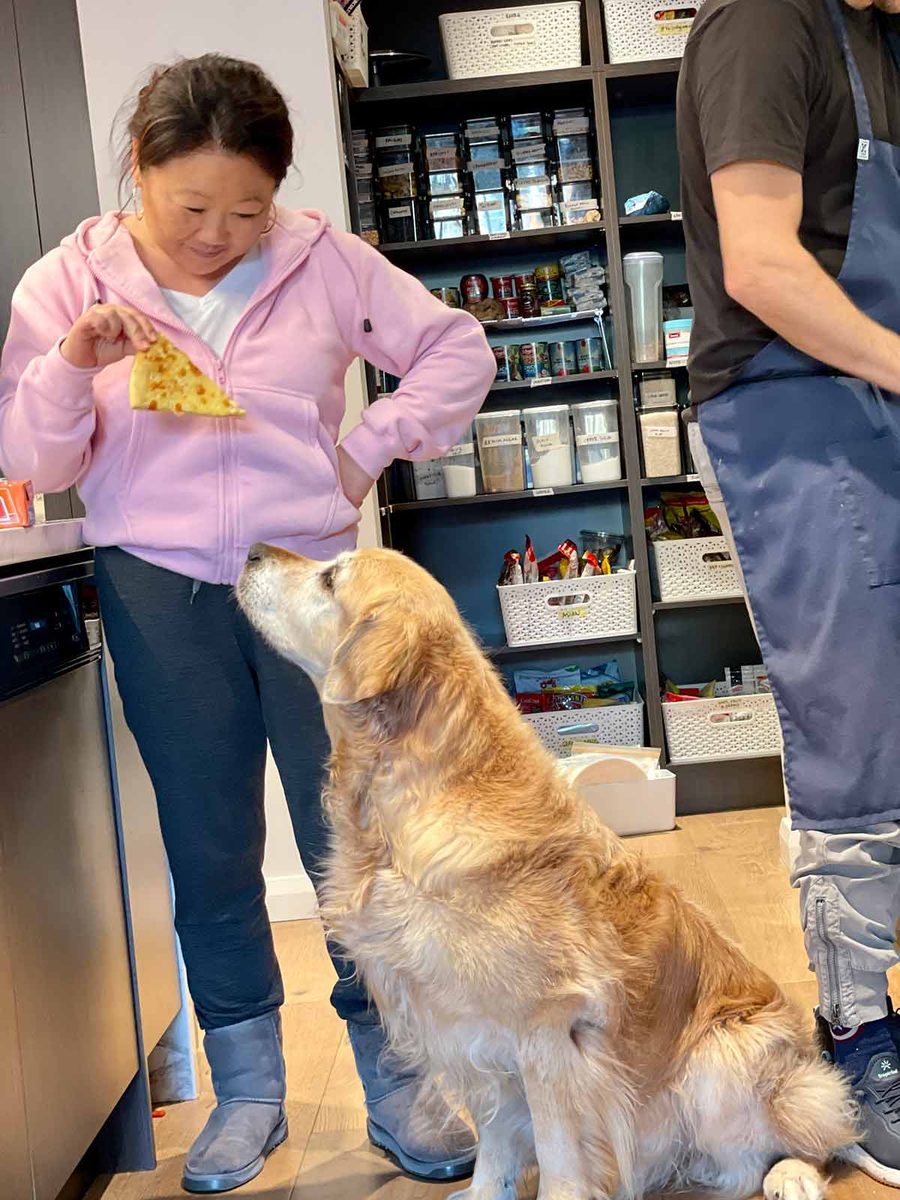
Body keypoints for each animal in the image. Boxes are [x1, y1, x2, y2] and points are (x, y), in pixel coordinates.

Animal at [237, 544, 855, 1200]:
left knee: (799, 1141)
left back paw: (786, 1175)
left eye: (331, 577)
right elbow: (496, 1142)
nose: (250, 552)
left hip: (723, 1056)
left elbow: (560, 1155)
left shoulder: (550, 1035)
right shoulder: (472, 1036)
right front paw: (485, 1192)